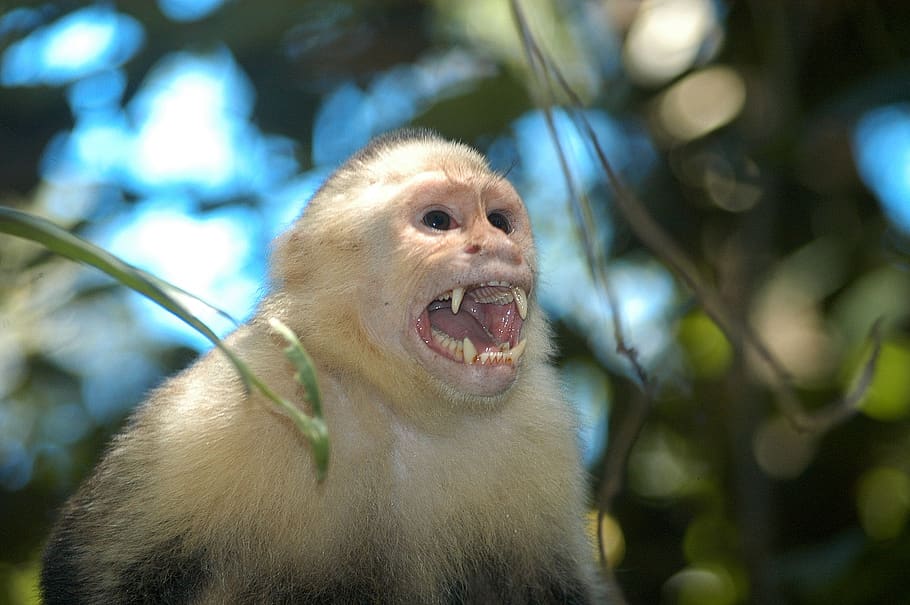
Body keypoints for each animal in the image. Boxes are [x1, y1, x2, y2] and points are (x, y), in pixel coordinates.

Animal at [40, 129, 606, 604]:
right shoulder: (236, 395)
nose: (496, 244)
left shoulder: (542, 422)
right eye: (439, 221)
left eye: (500, 221)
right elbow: (90, 568)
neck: (398, 402)